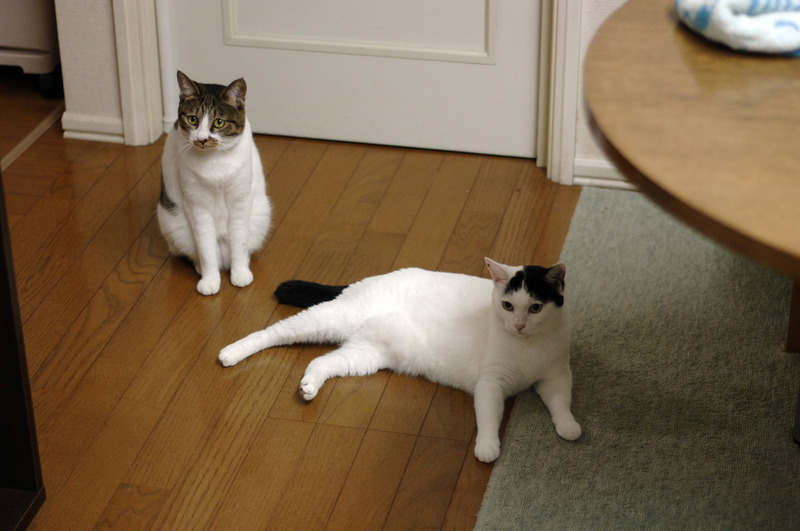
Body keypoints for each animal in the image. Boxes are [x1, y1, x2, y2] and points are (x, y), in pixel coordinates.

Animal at [157, 70, 272, 296]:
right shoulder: (197, 205)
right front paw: (210, 280)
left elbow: (240, 242)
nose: (202, 139)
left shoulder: (240, 201)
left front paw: (240, 273)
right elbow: (206, 249)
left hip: (260, 215)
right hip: (173, 224)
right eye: (192, 119)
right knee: (196, 252)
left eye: (218, 122)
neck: (215, 162)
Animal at [218, 258, 581, 463]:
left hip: (363, 356)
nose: (518, 325)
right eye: (507, 306)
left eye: (535, 308)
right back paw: (232, 352)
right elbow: (489, 416)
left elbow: (560, 402)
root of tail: (366, 280)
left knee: (320, 362)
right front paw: (488, 447)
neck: (527, 345)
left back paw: (308, 387)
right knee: (274, 332)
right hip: (327, 319)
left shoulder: (556, 375)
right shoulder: (491, 382)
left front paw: (568, 426)